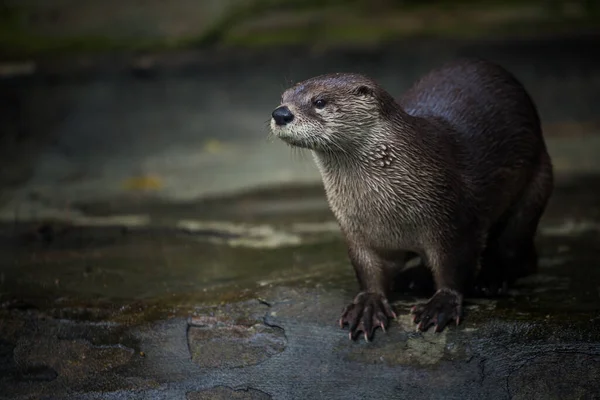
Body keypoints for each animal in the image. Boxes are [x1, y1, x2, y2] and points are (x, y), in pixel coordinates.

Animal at [270, 58, 556, 340]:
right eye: (283, 97)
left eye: (319, 101)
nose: (280, 113)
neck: (387, 210)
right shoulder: (356, 231)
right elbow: (367, 270)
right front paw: (368, 305)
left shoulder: (455, 221)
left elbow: (454, 266)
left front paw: (442, 303)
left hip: (536, 185)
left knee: (515, 246)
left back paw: (490, 279)